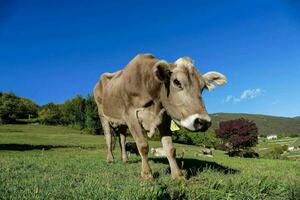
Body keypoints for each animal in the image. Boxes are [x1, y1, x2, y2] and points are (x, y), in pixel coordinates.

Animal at [92, 53, 226, 180]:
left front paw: (178, 175)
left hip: (121, 122)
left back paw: (125, 159)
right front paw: (147, 174)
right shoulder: (131, 115)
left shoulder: (164, 118)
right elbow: (143, 145)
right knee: (108, 138)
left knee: (122, 139)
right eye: (176, 82)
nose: (203, 122)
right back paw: (110, 159)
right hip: (102, 115)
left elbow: (170, 148)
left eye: (203, 87)